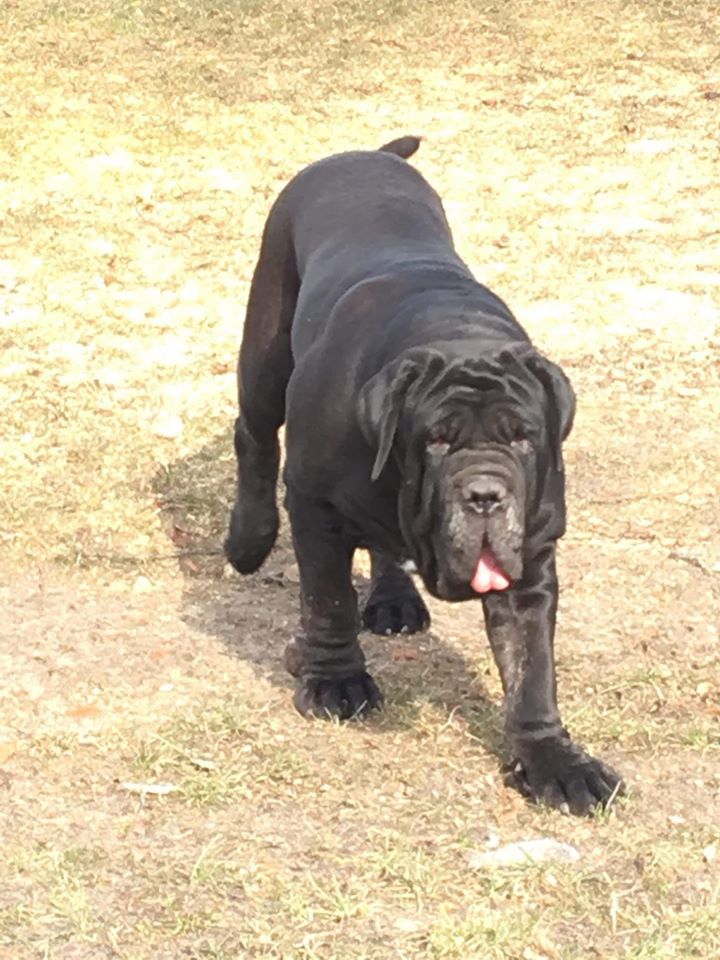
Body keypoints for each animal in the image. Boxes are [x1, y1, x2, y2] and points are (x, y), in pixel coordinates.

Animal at [226, 133, 624, 808]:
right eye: (436, 441)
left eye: (522, 438)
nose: (485, 493)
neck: (456, 336)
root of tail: (366, 153)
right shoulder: (314, 505)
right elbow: (328, 598)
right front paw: (336, 682)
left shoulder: (532, 555)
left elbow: (532, 668)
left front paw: (554, 760)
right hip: (265, 348)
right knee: (253, 436)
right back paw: (247, 541)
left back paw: (394, 599)